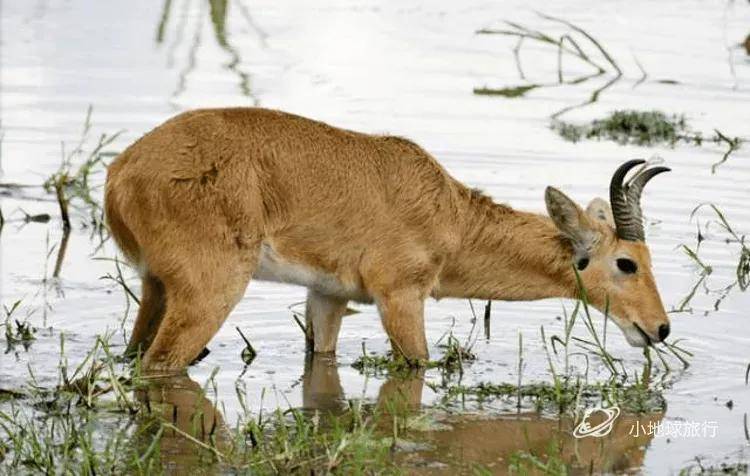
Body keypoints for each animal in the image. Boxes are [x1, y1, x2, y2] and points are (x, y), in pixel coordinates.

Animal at [103, 108, 672, 372]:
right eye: (627, 263)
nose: (660, 329)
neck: (450, 217)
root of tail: (121, 171)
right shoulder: (400, 296)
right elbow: (417, 364)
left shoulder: (327, 296)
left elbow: (323, 358)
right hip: (210, 293)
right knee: (160, 367)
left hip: (156, 288)